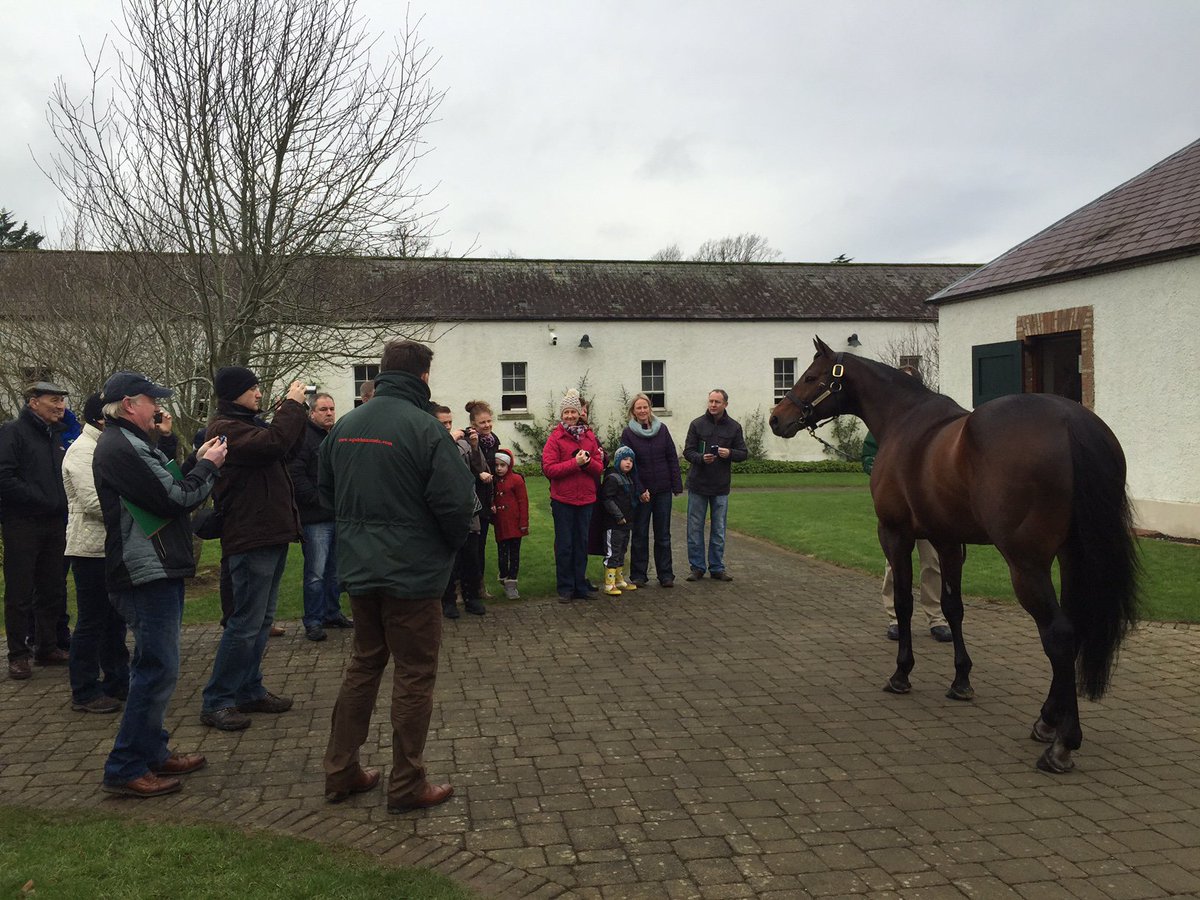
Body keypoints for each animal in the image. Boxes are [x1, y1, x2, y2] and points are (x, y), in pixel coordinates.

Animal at [763, 336, 1137, 772]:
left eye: (810, 376)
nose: (777, 419)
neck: (903, 420)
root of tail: (1070, 421)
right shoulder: (947, 540)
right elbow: (953, 607)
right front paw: (961, 680)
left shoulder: (895, 534)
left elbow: (905, 602)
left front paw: (902, 674)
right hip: (1072, 556)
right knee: (1074, 626)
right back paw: (1047, 720)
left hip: (1027, 563)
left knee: (1058, 634)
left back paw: (1062, 743)